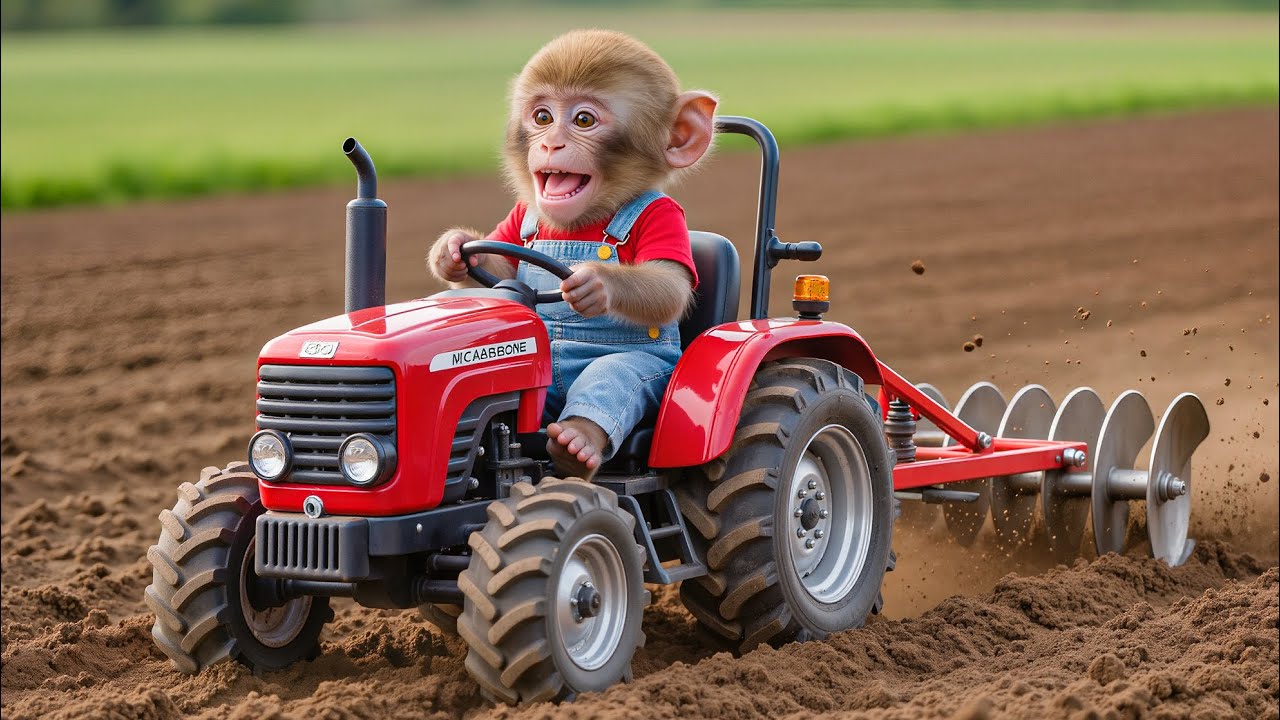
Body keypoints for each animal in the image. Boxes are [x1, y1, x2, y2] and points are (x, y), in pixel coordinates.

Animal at [428, 29, 717, 479]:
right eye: (542, 117)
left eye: (584, 120)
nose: (551, 144)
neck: (581, 222)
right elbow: (500, 256)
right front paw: (452, 249)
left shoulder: (666, 217)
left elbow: (668, 285)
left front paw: (595, 282)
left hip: (653, 377)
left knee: (611, 378)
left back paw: (575, 442)